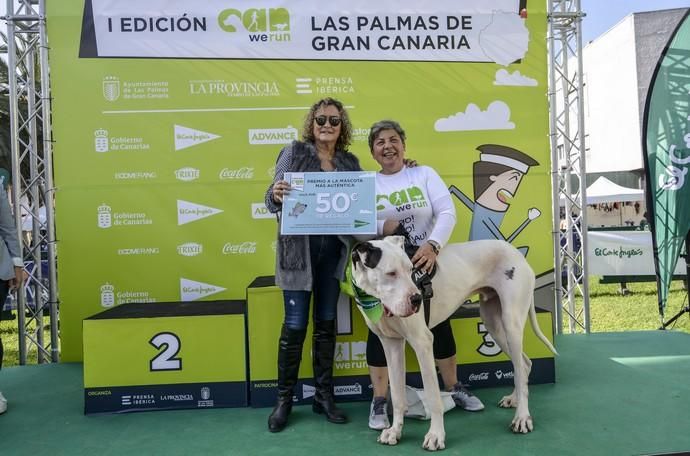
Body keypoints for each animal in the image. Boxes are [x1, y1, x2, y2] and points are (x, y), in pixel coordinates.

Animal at [352, 237, 556, 450]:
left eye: (410, 270)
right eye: (391, 273)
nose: (417, 299)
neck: (376, 300)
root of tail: (516, 252)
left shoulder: (423, 342)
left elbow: (434, 398)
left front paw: (435, 435)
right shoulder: (391, 345)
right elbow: (398, 396)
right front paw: (394, 431)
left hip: (511, 324)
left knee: (520, 367)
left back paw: (522, 417)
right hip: (494, 325)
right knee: (523, 364)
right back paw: (514, 399)